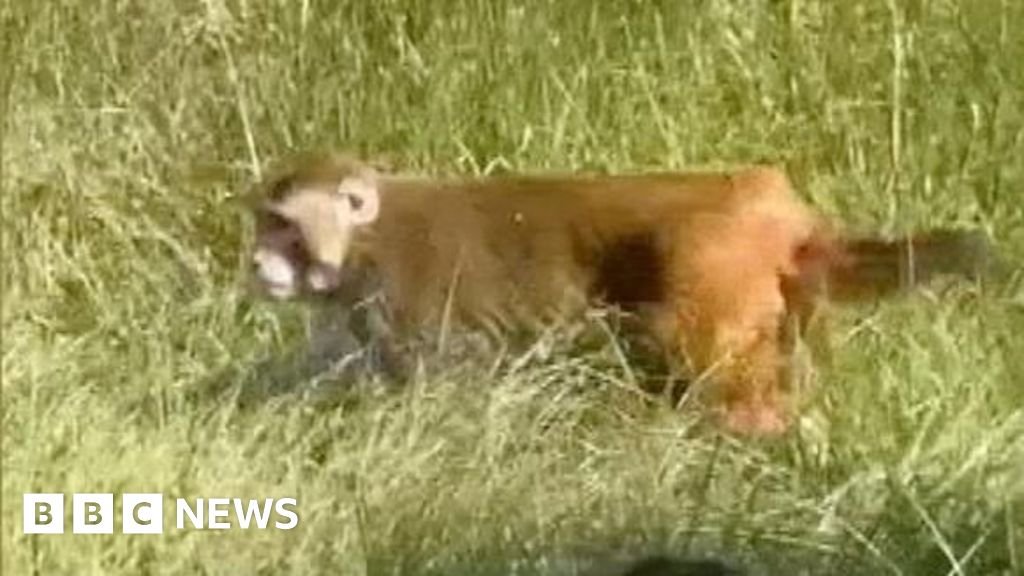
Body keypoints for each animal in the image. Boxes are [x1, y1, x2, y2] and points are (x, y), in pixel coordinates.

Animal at [247, 153, 992, 435]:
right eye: (264, 220)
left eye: (283, 225)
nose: (255, 260)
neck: (362, 241)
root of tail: (774, 207)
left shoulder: (400, 298)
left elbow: (441, 398)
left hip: (710, 270)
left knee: (694, 358)